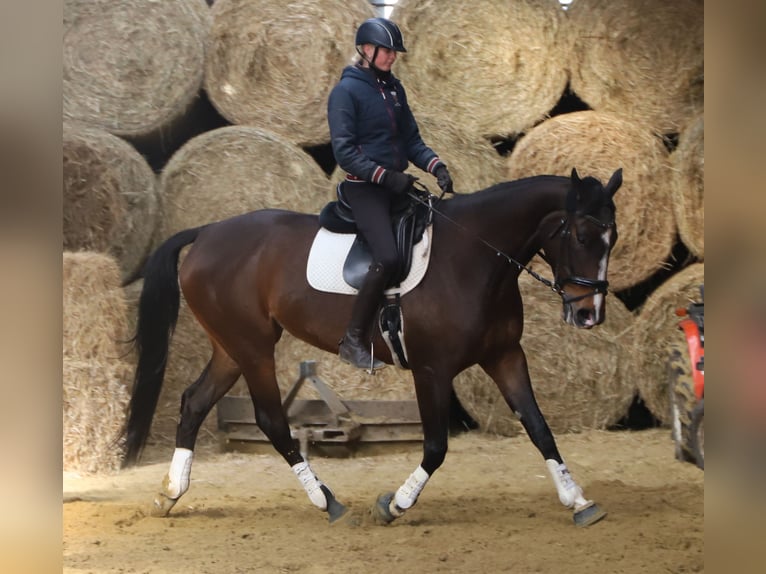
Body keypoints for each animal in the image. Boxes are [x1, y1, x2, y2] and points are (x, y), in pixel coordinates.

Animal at [122, 167, 622, 527]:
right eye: (581, 236)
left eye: (612, 238)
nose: (589, 314)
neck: (474, 257)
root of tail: (207, 231)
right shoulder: (432, 370)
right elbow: (436, 447)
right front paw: (395, 504)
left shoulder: (505, 357)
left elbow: (539, 428)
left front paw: (578, 500)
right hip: (253, 348)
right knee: (270, 420)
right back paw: (326, 501)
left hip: (231, 347)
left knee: (194, 402)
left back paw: (170, 494)